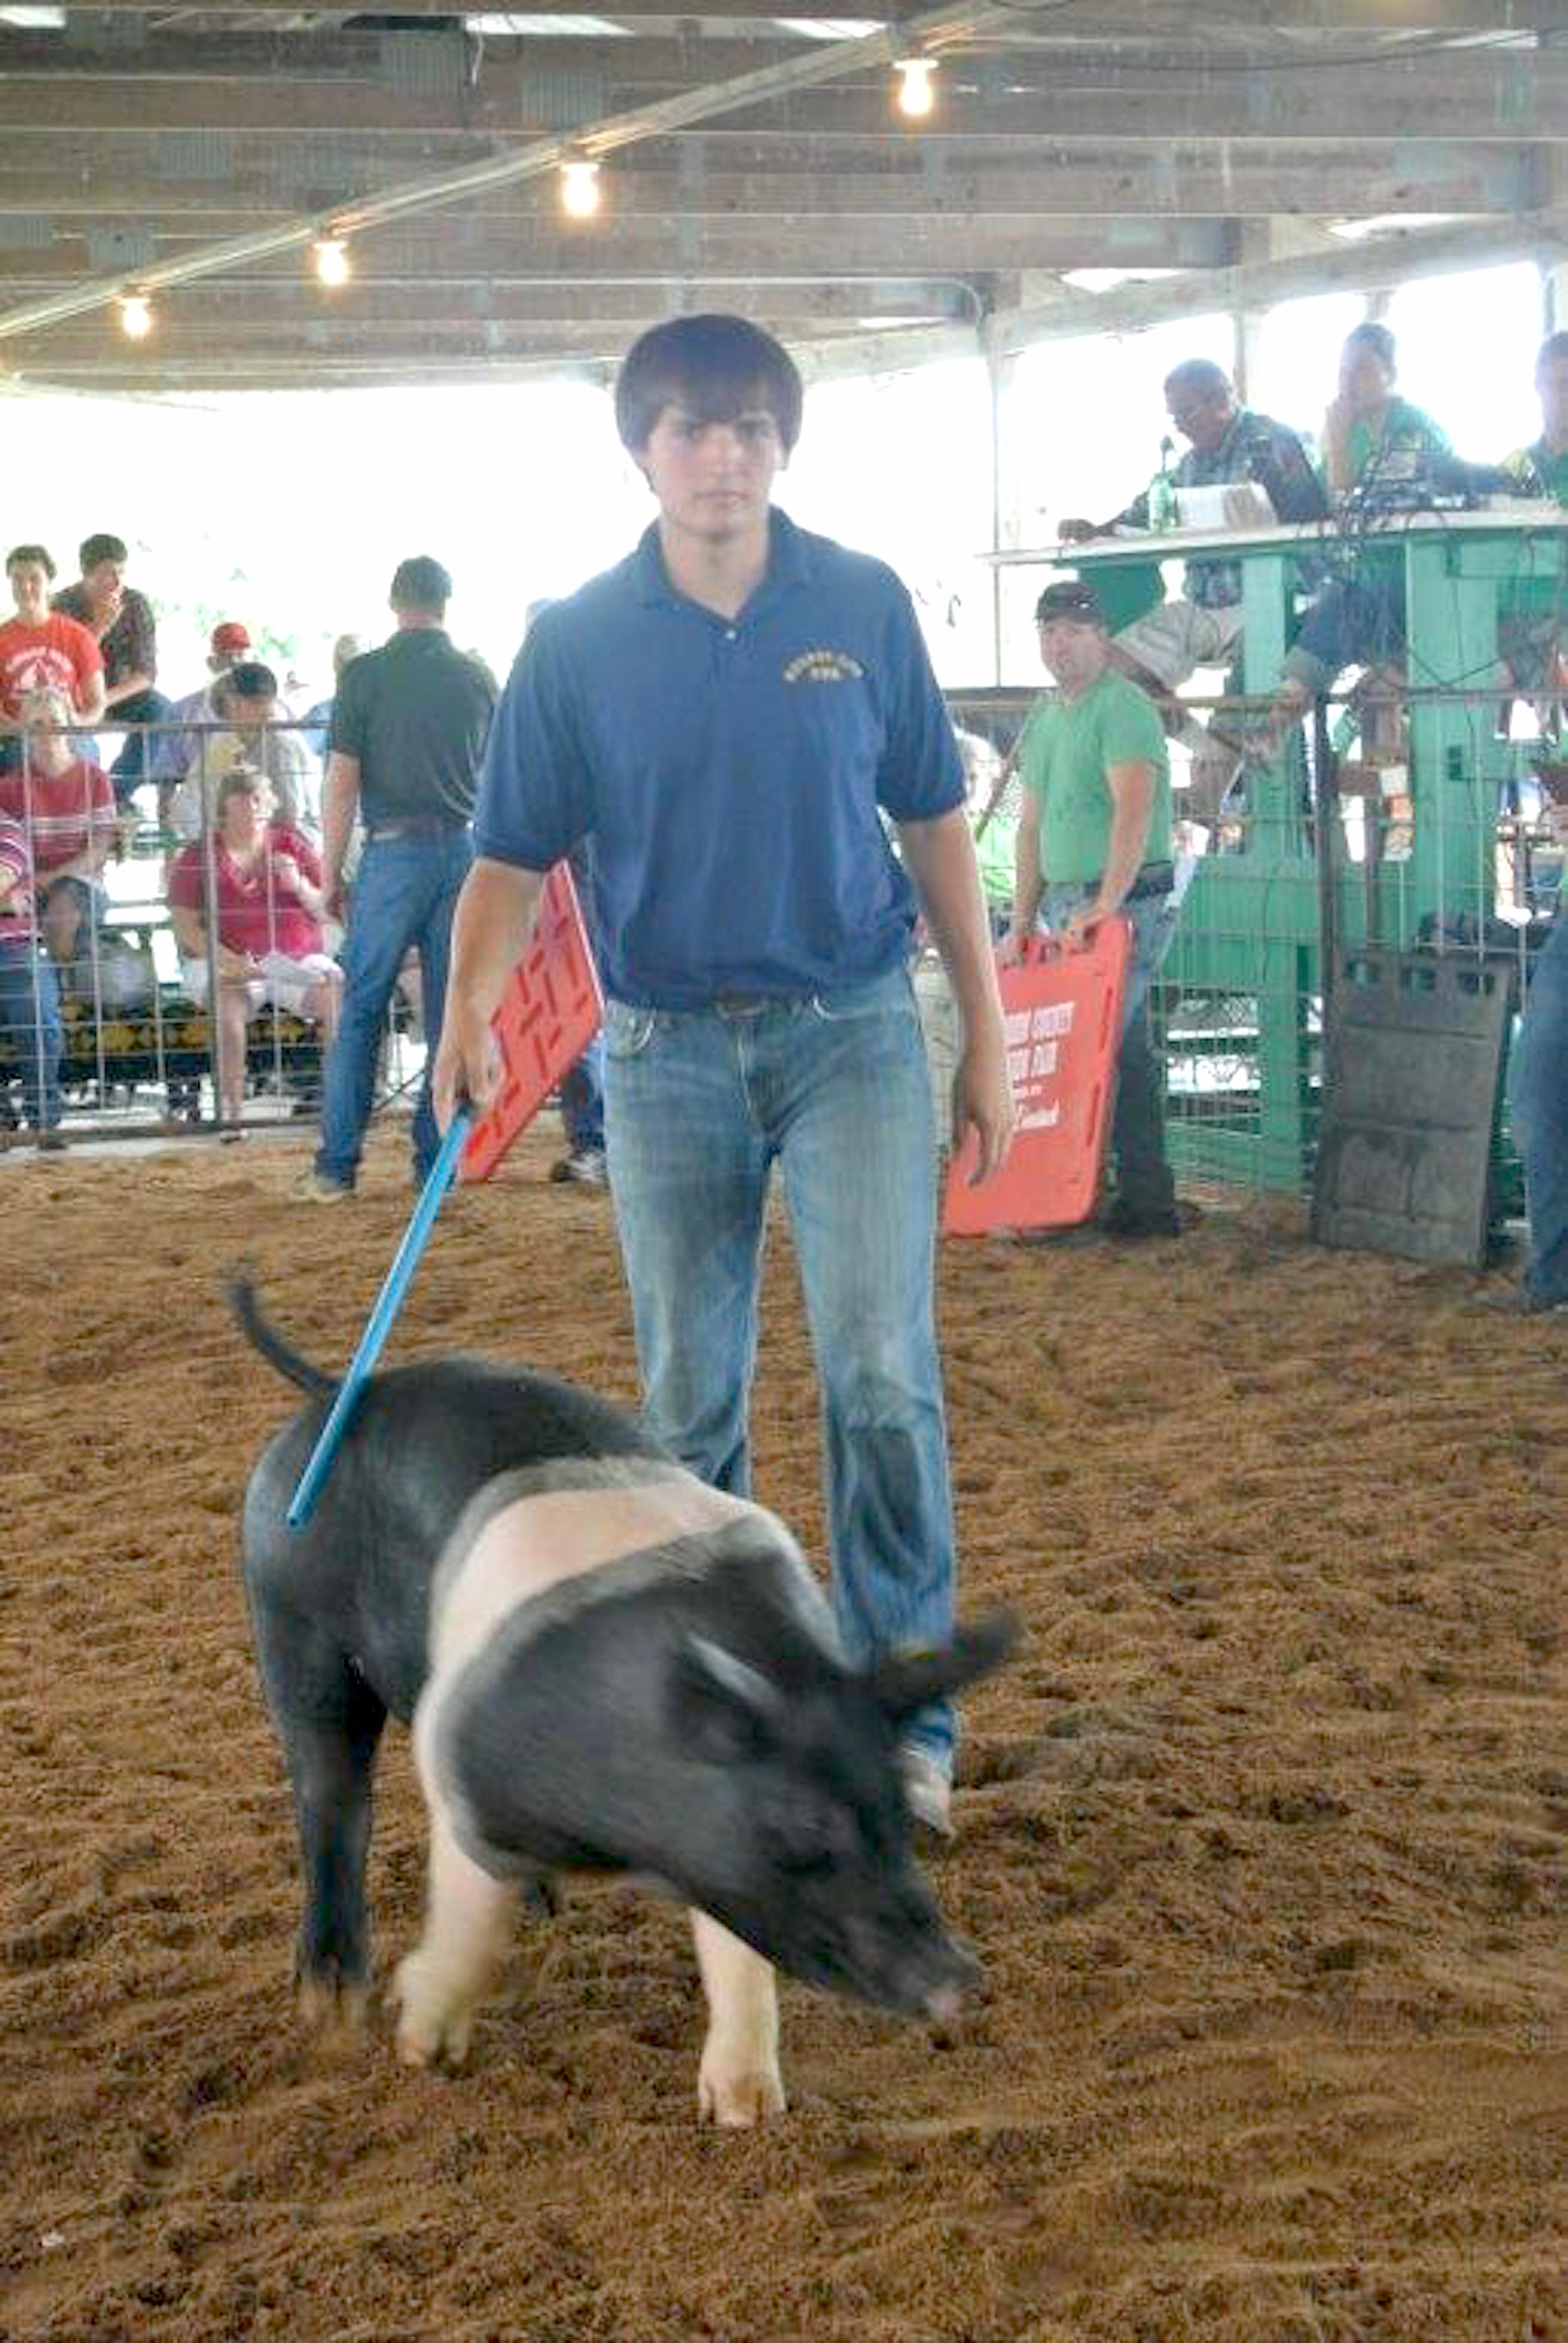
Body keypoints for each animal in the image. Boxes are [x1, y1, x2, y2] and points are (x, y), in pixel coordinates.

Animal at [235, 1284, 1017, 2127]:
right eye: (801, 1828)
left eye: (897, 1809)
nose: (961, 1979)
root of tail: (339, 1392)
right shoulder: (466, 1762)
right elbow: (468, 1920)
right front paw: (421, 2045)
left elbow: (737, 1947)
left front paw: (745, 2108)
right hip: (289, 1619)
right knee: (332, 1799)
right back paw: (331, 2007)